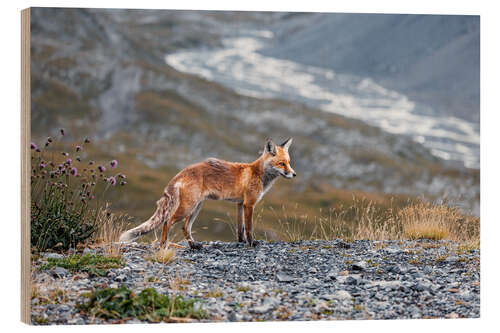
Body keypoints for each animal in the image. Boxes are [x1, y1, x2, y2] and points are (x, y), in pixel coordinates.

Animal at [119, 137, 294, 246]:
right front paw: (251, 244)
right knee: (167, 222)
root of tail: (182, 171)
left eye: (289, 162)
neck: (257, 173)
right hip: (188, 207)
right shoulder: (249, 204)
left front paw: (241, 242)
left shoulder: (240, 204)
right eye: (281, 163)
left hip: (197, 207)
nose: (294, 174)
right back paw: (164, 245)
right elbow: (249, 228)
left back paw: (194, 246)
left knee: (185, 227)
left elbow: (241, 229)